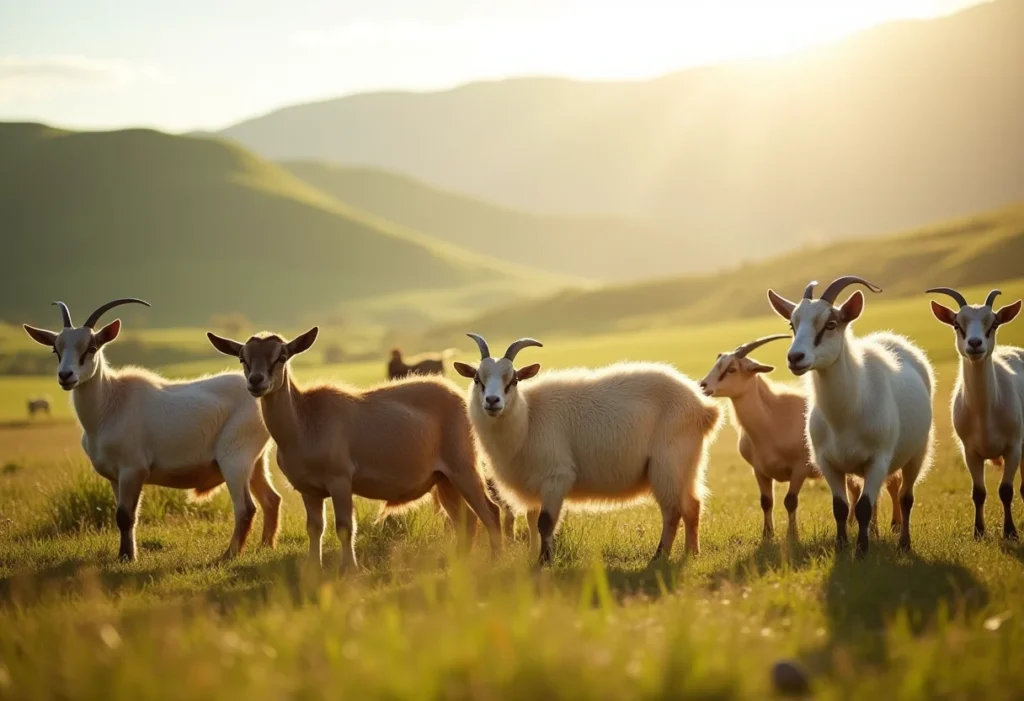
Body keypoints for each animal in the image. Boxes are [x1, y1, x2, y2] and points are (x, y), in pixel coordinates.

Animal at [23, 299, 281, 562]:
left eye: (91, 347)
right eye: (56, 349)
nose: (66, 376)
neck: (110, 404)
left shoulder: (133, 470)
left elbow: (126, 516)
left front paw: (128, 557)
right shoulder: (115, 477)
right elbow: (121, 515)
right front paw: (125, 554)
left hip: (235, 459)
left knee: (246, 508)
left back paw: (228, 555)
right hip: (256, 462)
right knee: (271, 499)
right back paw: (265, 546)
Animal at [208, 327, 503, 573]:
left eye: (281, 356)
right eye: (242, 359)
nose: (256, 381)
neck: (304, 424)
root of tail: (458, 396)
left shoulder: (340, 479)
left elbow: (344, 527)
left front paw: (349, 569)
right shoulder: (308, 489)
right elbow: (314, 528)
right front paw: (313, 569)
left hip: (463, 465)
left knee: (490, 511)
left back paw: (495, 560)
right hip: (443, 479)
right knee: (466, 520)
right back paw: (460, 560)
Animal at [453, 334, 723, 566]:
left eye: (513, 380)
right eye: (477, 379)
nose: (492, 401)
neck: (528, 418)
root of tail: (704, 408)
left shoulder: (556, 477)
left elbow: (545, 523)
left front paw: (545, 562)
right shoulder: (534, 484)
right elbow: (531, 522)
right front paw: (533, 558)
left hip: (667, 465)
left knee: (673, 511)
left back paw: (659, 556)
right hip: (687, 466)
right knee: (693, 506)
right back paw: (691, 554)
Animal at [768, 276, 934, 557]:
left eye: (830, 324)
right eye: (793, 324)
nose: (795, 358)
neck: (844, 416)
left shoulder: (878, 459)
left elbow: (864, 506)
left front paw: (862, 551)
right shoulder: (828, 462)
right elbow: (841, 507)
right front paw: (842, 546)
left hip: (917, 453)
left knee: (906, 496)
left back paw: (903, 543)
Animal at [928, 287, 1024, 539]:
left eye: (994, 323)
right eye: (956, 324)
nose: (975, 343)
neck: (984, 415)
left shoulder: (1013, 447)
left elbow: (1006, 490)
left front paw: (1010, 532)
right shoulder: (970, 451)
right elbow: (978, 492)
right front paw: (979, 532)